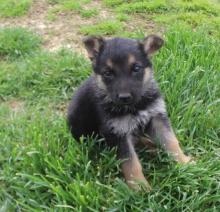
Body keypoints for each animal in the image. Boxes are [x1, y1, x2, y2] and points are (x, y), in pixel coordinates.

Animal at [68, 35, 192, 190]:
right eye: (107, 73)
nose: (124, 97)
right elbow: (131, 163)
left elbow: (171, 141)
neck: (135, 106)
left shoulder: (156, 117)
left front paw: (184, 163)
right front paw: (140, 187)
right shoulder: (117, 132)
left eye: (136, 68)